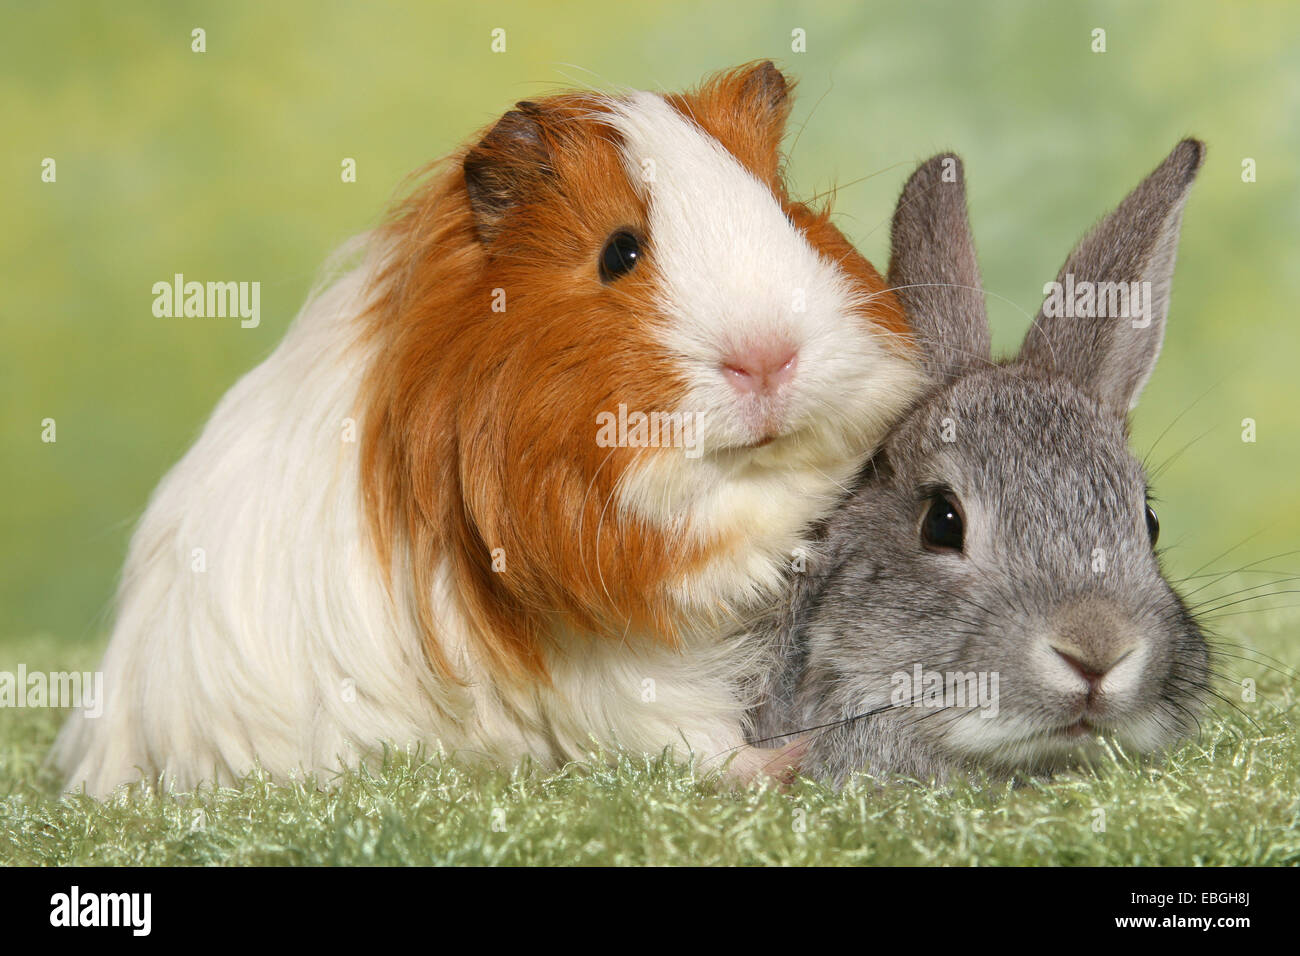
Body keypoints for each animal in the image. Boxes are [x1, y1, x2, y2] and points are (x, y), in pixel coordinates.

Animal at [52, 62, 924, 797]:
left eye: (787, 214)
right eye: (619, 252)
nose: (769, 357)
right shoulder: (598, 665)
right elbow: (683, 733)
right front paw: (789, 759)